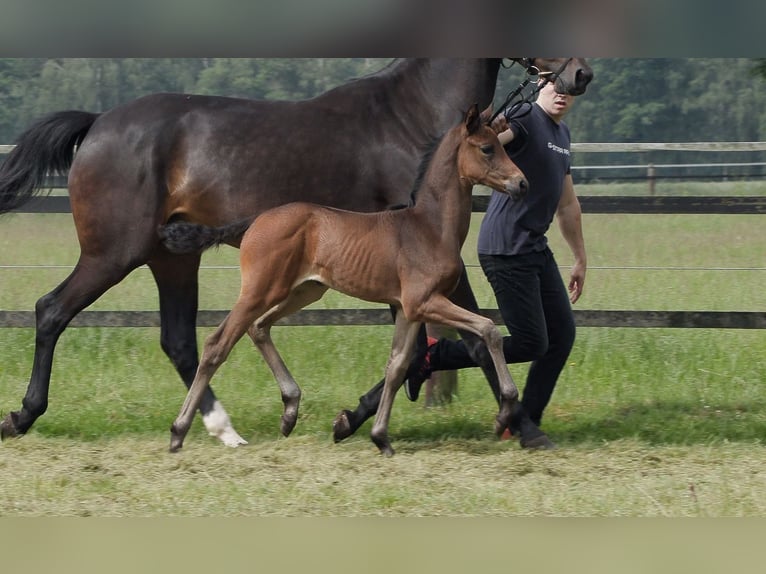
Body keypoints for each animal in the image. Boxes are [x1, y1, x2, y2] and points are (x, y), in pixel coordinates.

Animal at [162, 104, 532, 460]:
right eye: (487, 148)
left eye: (503, 144)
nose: (521, 183)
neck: (429, 227)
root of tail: (255, 220)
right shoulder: (425, 301)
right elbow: (489, 329)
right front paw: (504, 413)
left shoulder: (409, 309)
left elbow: (397, 365)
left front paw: (380, 438)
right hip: (260, 290)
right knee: (217, 345)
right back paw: (179, 432)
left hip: (304, 290)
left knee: (259, 327)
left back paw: (290, 410)